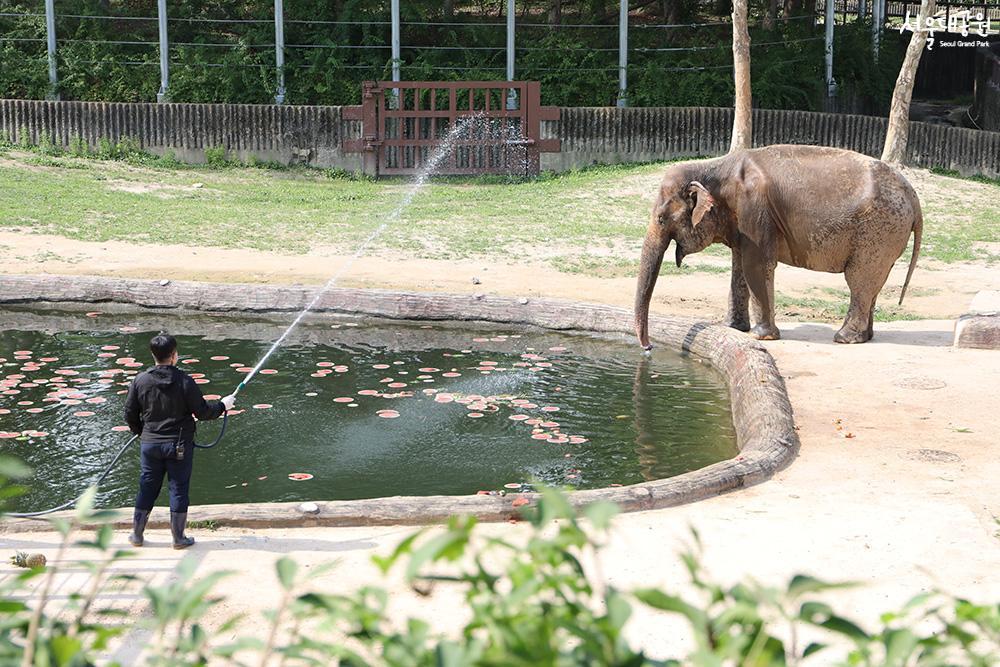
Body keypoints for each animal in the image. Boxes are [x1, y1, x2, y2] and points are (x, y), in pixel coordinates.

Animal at [632, 144, 920, 348]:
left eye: (661, 218)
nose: (648, 347)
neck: (713, 167)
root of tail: (914, 197)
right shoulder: (742, 222)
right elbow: (739, 267)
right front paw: (732, 328)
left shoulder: (755, 210)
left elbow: (757, 265)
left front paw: (762, 337)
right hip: (886, 236)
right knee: (873, 284)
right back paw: (866, 337)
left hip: (878, 231)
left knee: (859, 279)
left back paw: (844, 339)